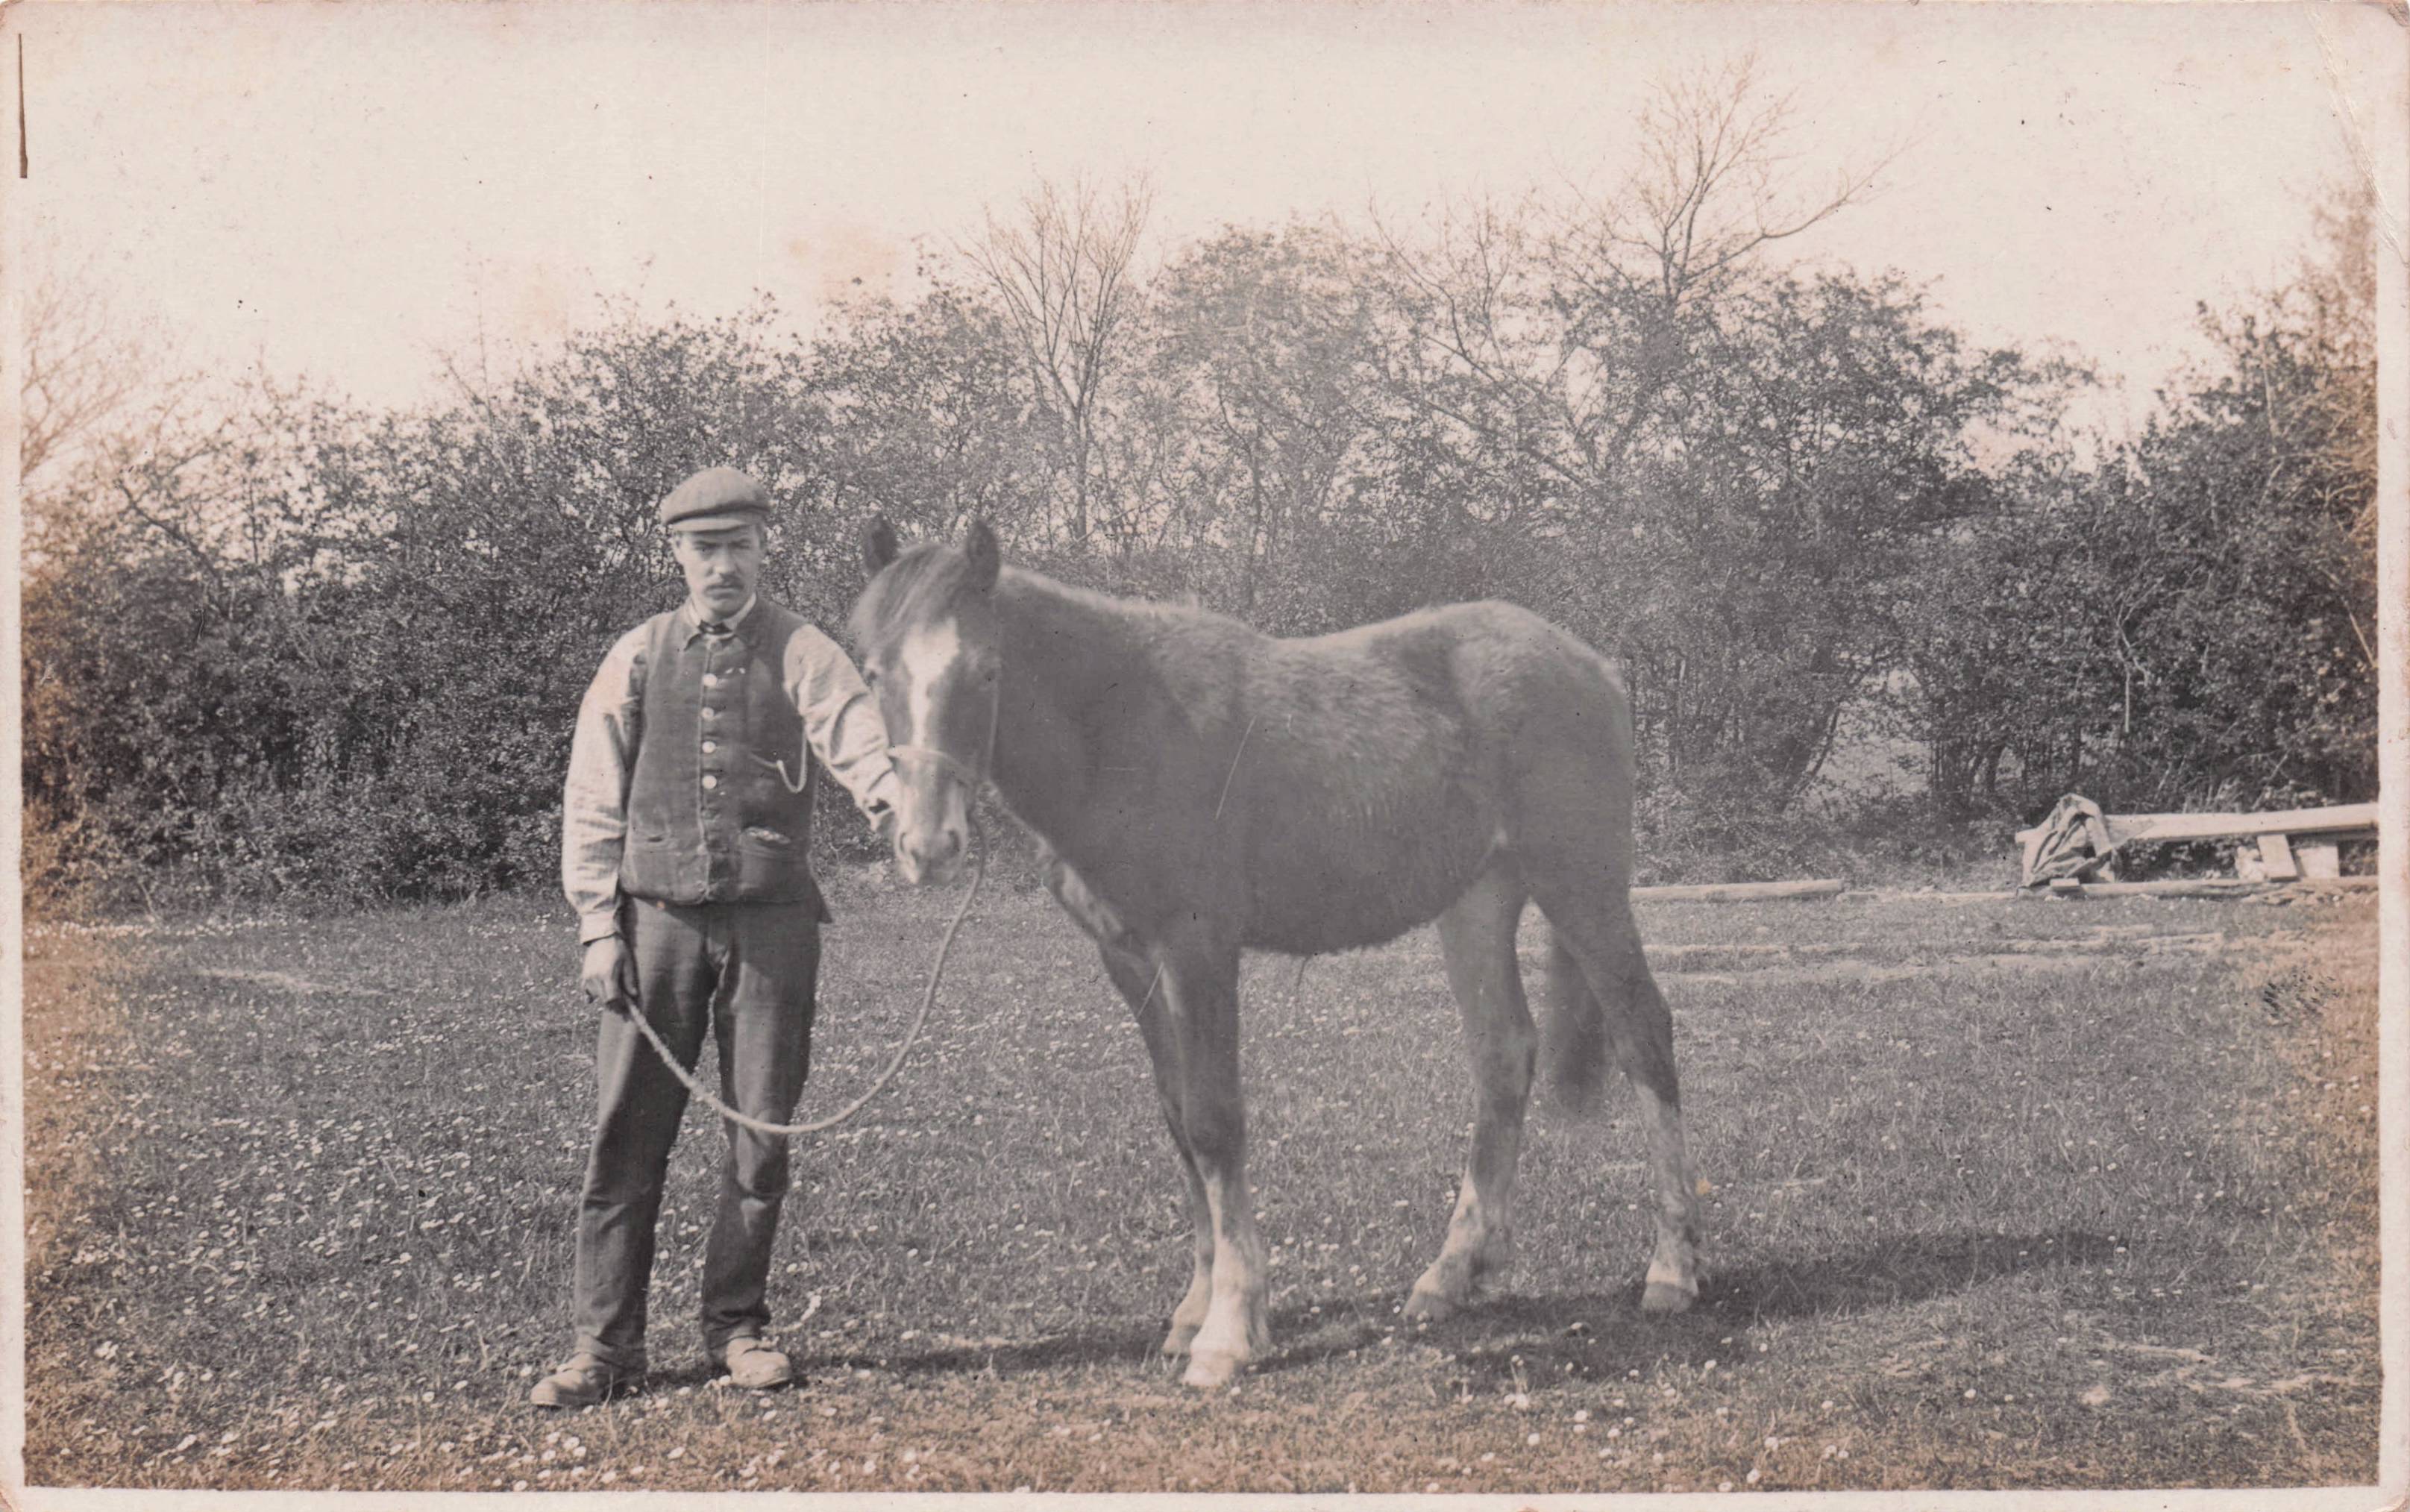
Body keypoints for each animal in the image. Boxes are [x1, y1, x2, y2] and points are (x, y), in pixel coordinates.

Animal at [850, 518, 1701, 1390]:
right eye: (873, 670)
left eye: (985, 670)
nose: (926, 844)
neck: (1122, 725)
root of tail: (1592, 664)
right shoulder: (1131, 963)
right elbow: (1177, 1119)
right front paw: (1193, 1309)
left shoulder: (1197, 949)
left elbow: (1214, 1120)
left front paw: (1228, 1328)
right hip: (1478, 899)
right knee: (1503, 1054)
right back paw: (1449, 1275)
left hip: (1582, 887)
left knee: (1643, 1035)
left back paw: (1672, 1268)